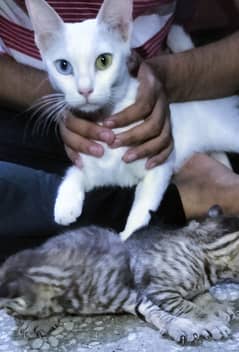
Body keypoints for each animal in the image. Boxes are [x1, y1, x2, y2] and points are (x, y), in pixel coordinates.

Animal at [0, 206, 239, 344]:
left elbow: (203, 296)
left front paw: (216, 306)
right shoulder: (159, 291)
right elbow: (188, 307)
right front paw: (209, 321)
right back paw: (38, 322)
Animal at [25, 0, 239, 239]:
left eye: (103, 61)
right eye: (63, 66)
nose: (85, 90)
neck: (107, 128)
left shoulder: (158, 165)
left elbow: (143, 207)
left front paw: (128, 236)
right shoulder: (89, 163)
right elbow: (73, 173)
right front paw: (66, 204)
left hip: (225, 130)